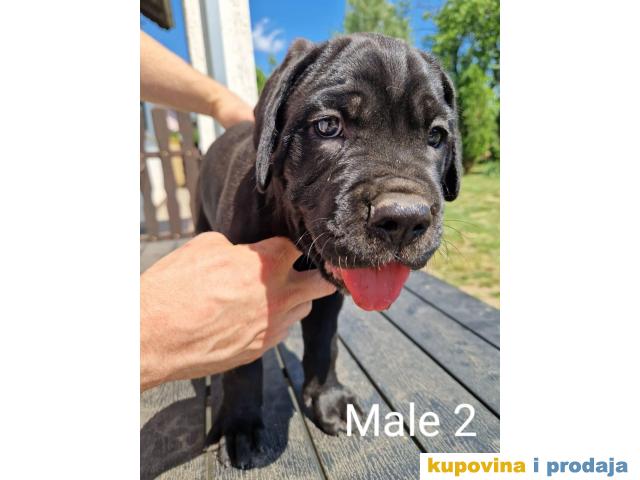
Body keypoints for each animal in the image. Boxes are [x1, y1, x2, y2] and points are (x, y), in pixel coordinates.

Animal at [196, 33, 461, 469]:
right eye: (328, 126)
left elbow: (324, 344)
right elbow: (244, 368)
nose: (404, 219)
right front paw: (241, 426)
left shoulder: (328, 299)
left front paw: (328, 401)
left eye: (436, 136)